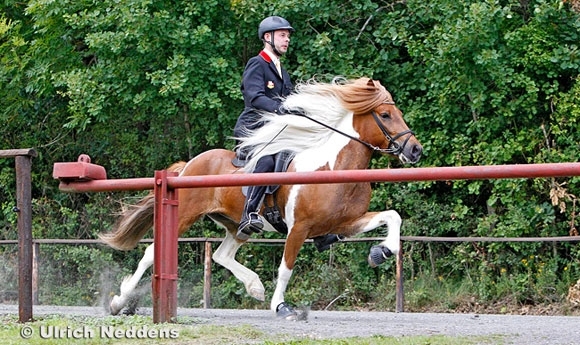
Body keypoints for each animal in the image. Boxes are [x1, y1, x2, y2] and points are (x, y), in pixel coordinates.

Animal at [99, 76, 424, 318]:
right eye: (385, 115)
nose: (415, 150)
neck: (335, 168)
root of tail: (190, 164)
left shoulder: (343, 223)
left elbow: (392, 217)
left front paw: (381, 252)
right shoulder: (299, 228)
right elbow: (285, 268)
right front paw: (281, 307)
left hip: (236, 224)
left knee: (221, 254)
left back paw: (253, 286)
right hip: (184, 216)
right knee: (151, 253)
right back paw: (118, 302)